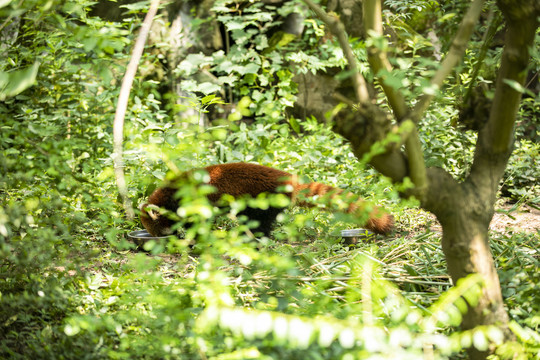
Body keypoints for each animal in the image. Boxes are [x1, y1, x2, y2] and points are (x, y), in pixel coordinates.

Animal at [139, 162, 392, 236]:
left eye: (157, 231)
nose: (162, 239)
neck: (170, 194)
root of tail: (289, 180)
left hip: (262, 198)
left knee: (259, 221)